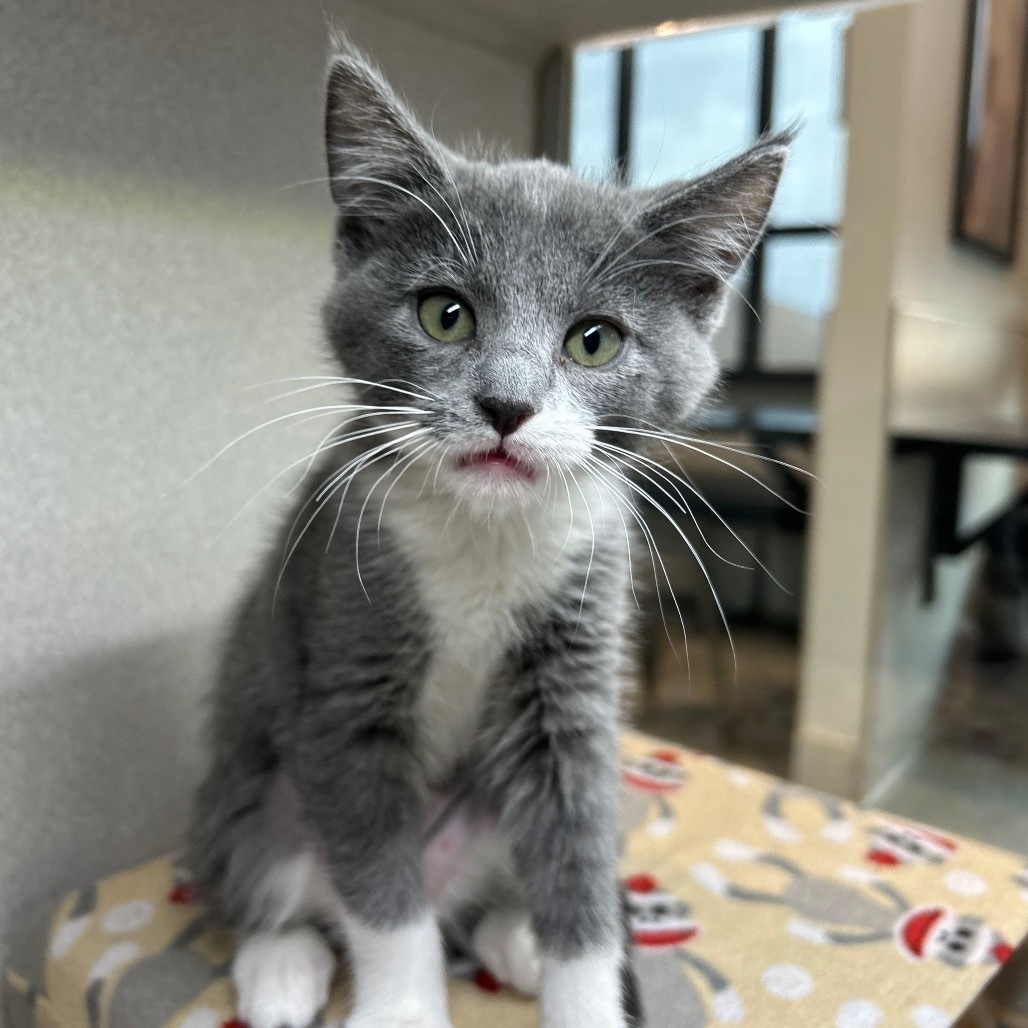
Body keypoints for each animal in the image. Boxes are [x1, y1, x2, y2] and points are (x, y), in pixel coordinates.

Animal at [189, 36, 785, 1028]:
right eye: (446, 313)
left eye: (594, 340)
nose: (506, 407)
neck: (488, 533)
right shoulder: (348, 638)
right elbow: (382, 893)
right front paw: (400, 1007)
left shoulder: (577, 658)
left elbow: (577, 855)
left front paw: (583, 991)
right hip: (246, 795)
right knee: (272, 877)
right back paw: (281, 965)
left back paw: (514, 938)